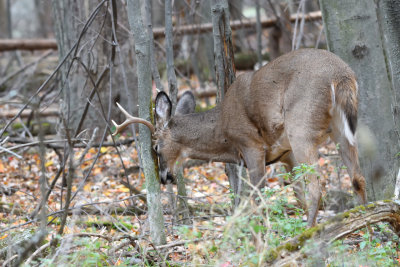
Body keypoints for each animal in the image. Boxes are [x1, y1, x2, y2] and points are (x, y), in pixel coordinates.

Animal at [111, 49, 366, 227]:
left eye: (156, 147)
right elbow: (296, 194)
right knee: (357, 178)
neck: (223, 131)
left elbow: (258, 195)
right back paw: (366, 222)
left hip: (301, 126)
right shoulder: (285, 154)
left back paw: (310, 232)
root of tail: (342, 75)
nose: (165, 177)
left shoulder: (252, 145)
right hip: (340, 129)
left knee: (317, 186)